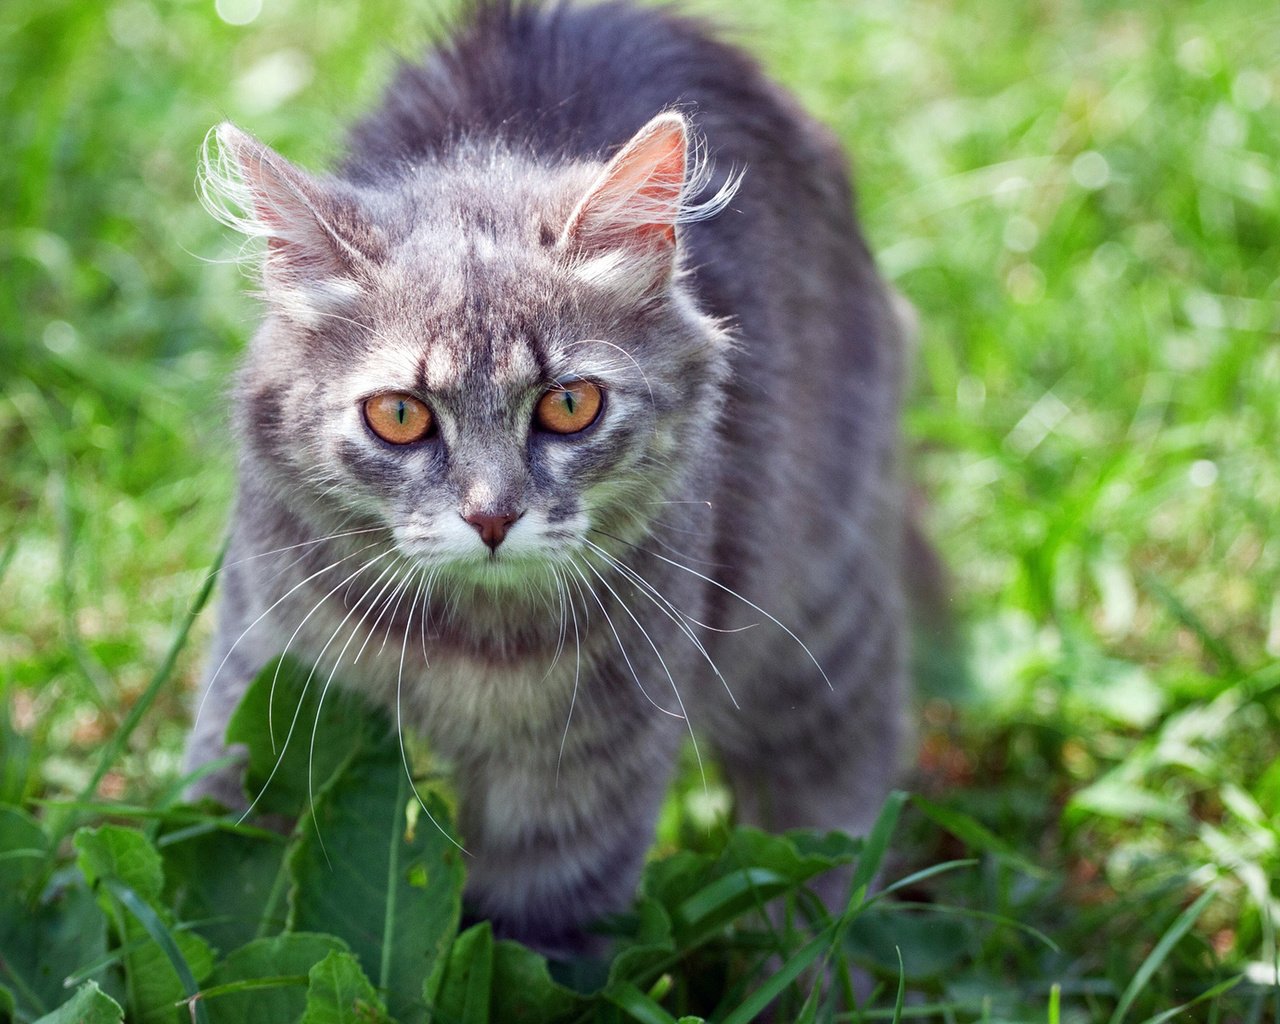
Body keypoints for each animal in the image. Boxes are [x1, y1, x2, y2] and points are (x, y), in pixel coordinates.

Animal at [186, 0, 911, 962]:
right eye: (400, 415)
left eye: (569, 405)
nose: (492, 518)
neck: (463, 644)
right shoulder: (262, 678)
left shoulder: (575, 796)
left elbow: (530, 949)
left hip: (817, 612)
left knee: (839, 799)